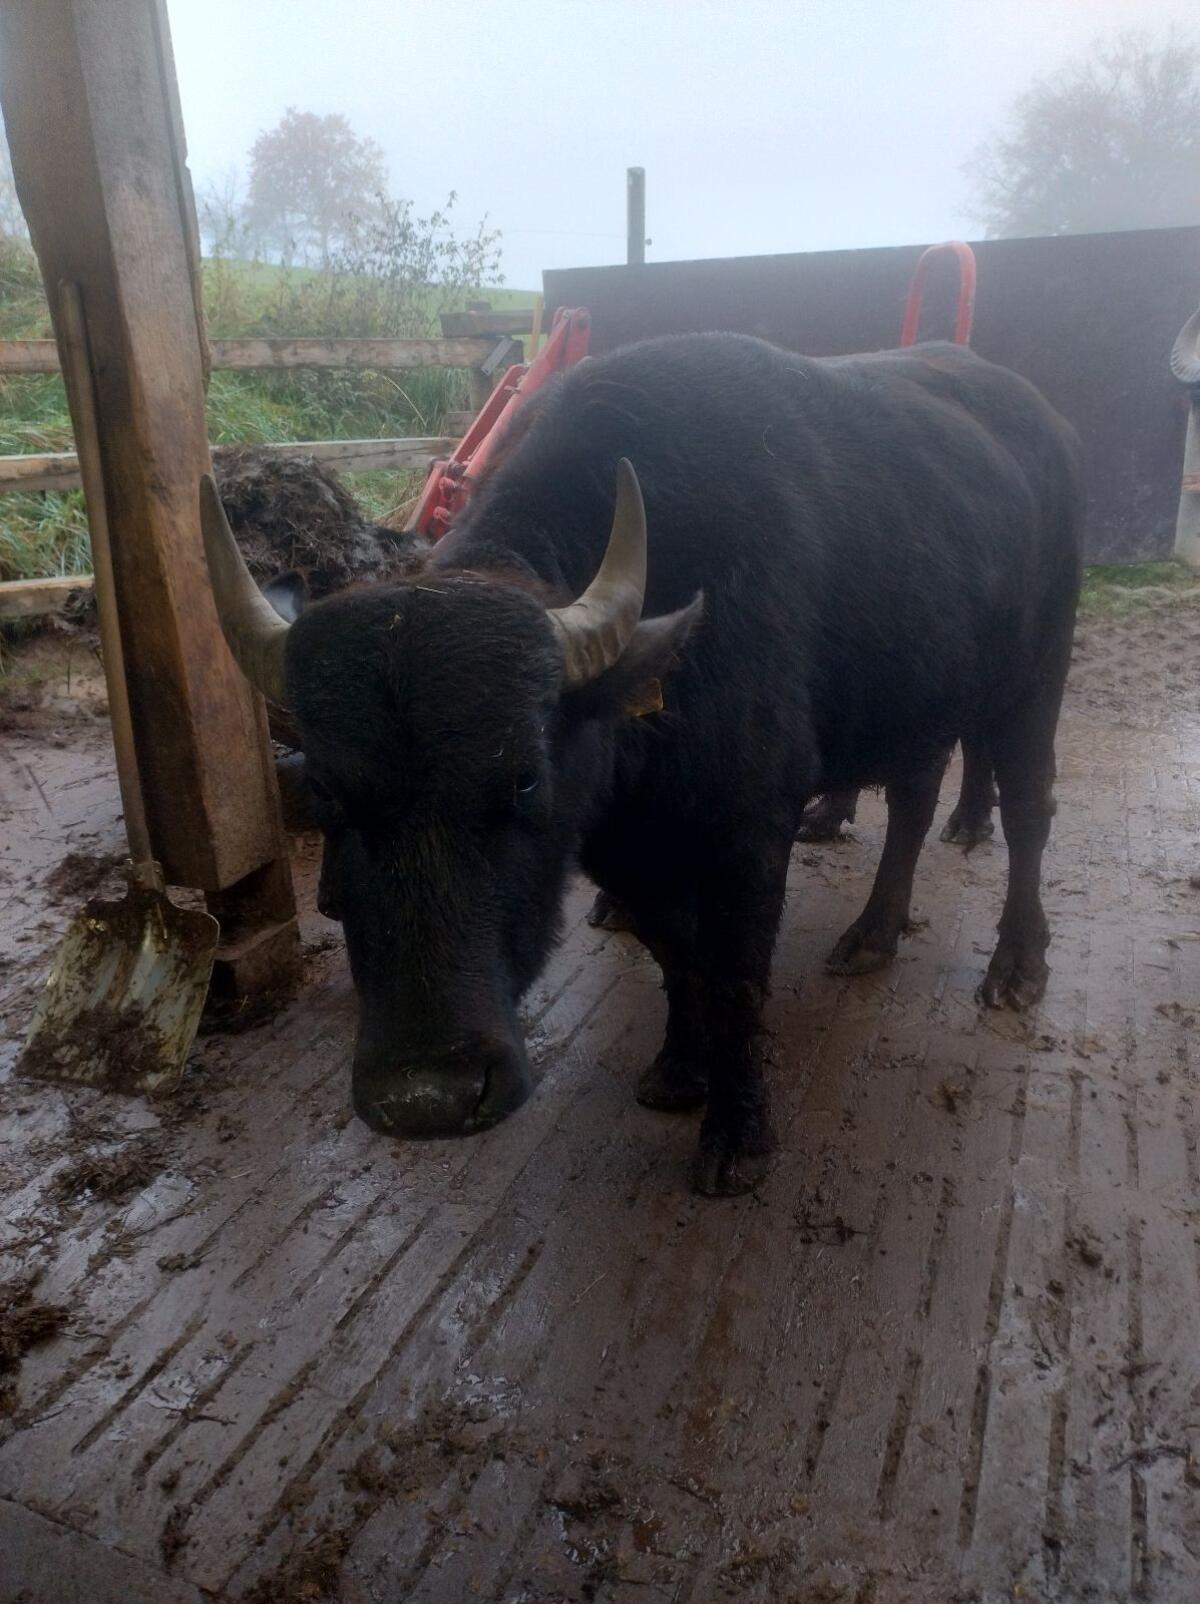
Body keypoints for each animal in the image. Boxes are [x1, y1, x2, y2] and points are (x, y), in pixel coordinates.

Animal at [200, 331, 1083, 1196]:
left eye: (525, 775)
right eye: (325, 791)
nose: (429, 1097)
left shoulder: (750, 832)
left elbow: (734, 973)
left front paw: (737, 1129)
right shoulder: (621, 848)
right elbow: (677, 955)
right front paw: (680, 1068)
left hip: (1035, 676)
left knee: (1029, 811)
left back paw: (1016, 964)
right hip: (919, 697)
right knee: (913, 799)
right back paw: (875, 931)